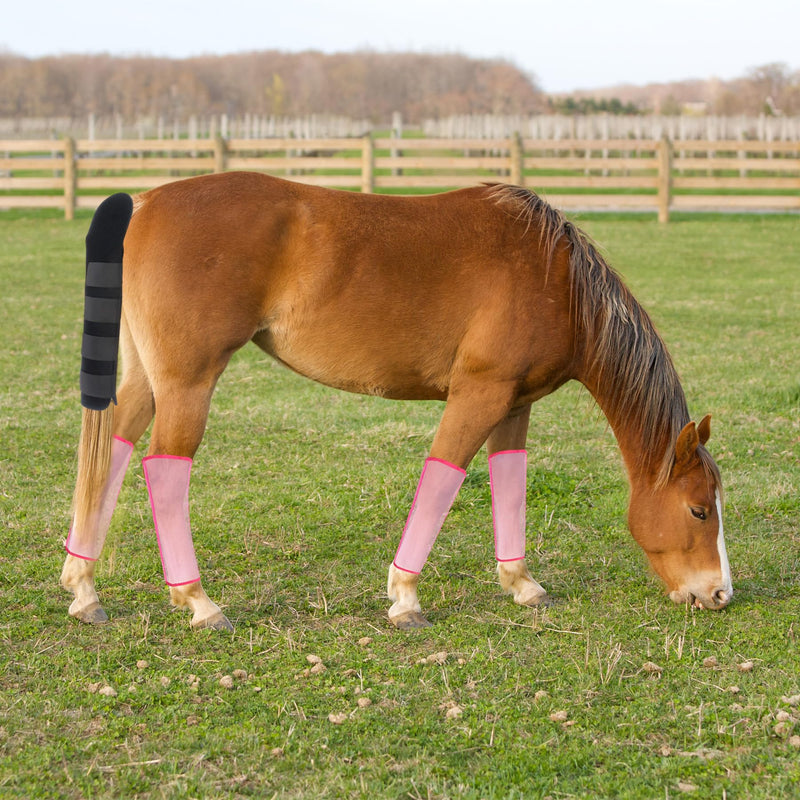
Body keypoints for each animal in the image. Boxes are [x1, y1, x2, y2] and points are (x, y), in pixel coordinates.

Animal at [61, 172, 732, 631]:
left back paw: (84, 585)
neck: (554, 277)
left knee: (111, 450)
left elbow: (509, 482)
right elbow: (442, 478)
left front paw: (520, 583)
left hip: (147, 383)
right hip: (188, 383)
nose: (721, 593)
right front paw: (405, 596)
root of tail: (144, 203)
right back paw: (198, 600)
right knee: (162, 468)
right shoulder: (478, 394)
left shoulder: (515, 405)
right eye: (699, 510)